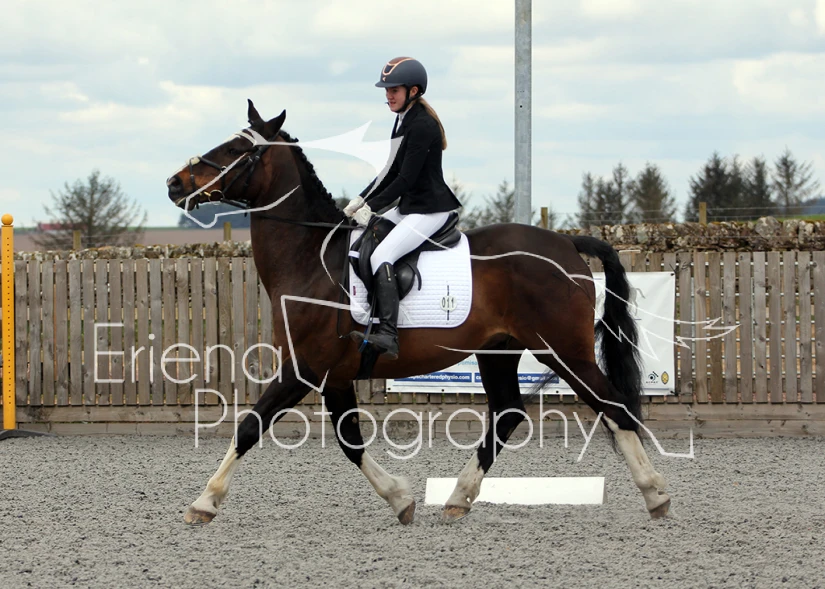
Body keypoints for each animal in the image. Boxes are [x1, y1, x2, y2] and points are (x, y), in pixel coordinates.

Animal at [165, 100, 670, 525]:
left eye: (236, 150)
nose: (174, 184)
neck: (309, 258)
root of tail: (566, 243)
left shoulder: (305, 369)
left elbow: (250, 427)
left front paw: (204, 502)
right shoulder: (336, 375)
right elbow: (350, 442)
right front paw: (401, 499)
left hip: (563, 351)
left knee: (612, 406)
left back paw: (656, 493)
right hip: (499, 351)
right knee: (507, 414)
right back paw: (458, 498)